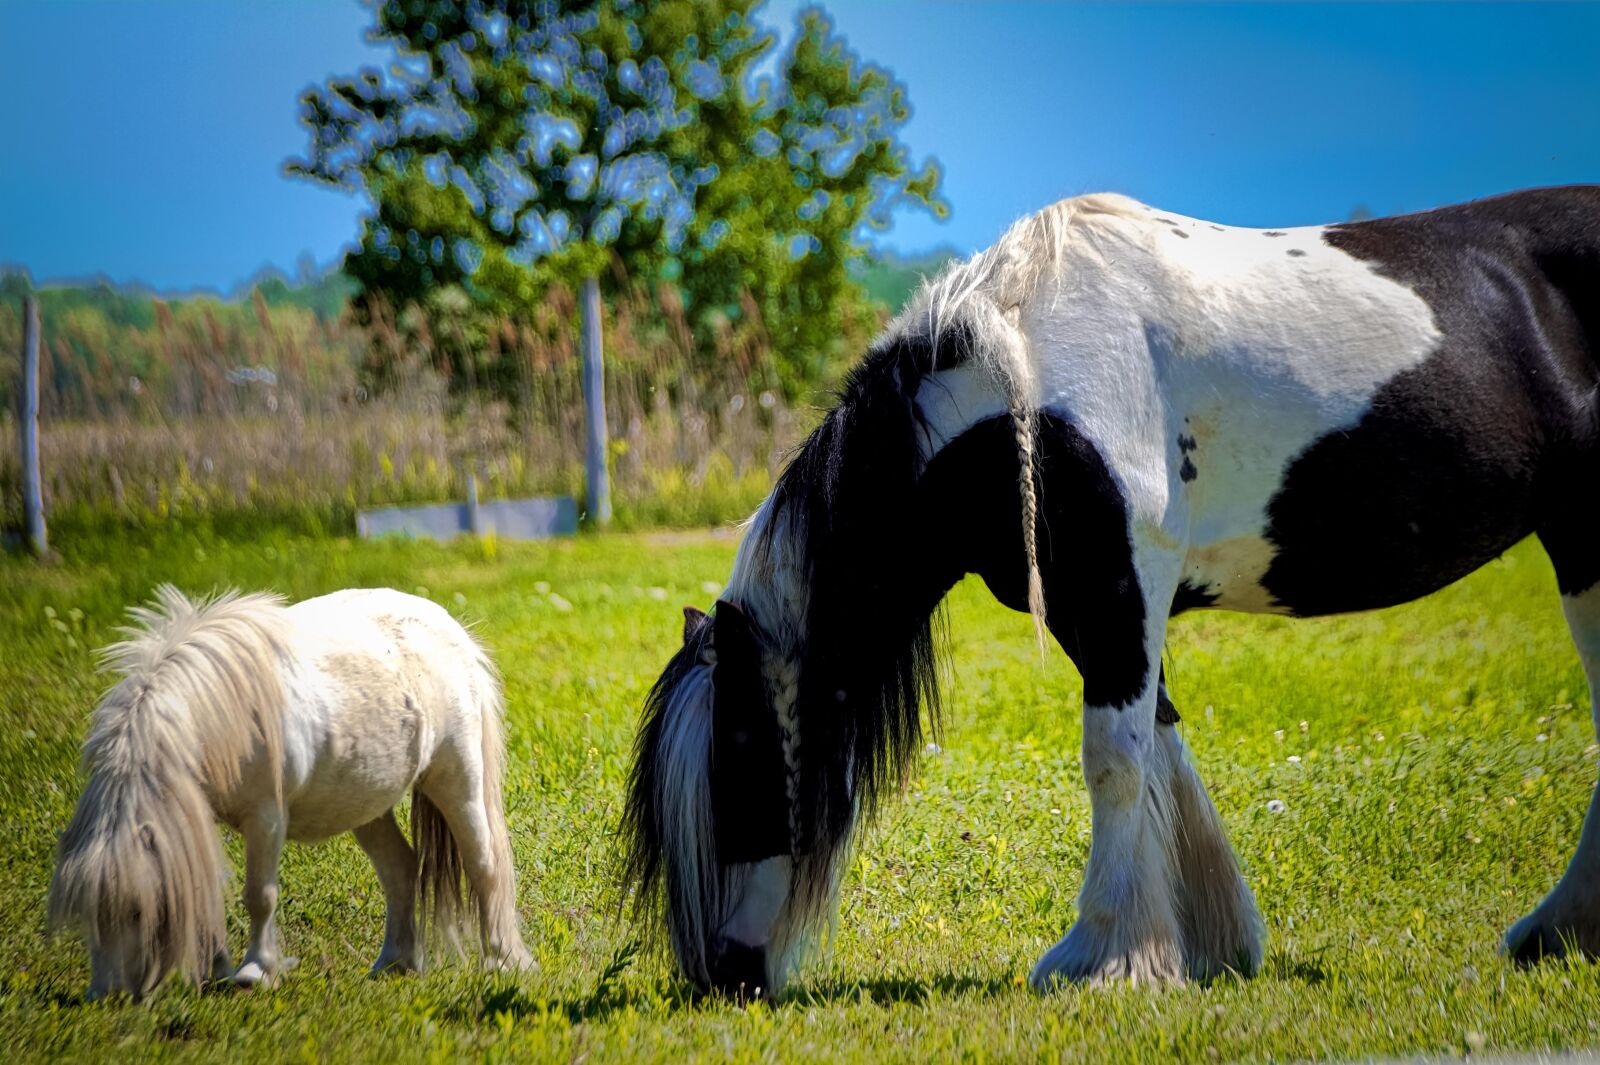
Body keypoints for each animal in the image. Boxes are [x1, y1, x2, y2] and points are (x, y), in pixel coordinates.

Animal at [49, 585, 532, 1000]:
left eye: (136, 911)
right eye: (87, 915)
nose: (105, 996)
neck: (217, 713)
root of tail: (452, 631)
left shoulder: (265, 817)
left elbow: (259, 895)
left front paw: (255, 971)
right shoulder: (199, 816)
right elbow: (210, 891)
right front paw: (217, 971)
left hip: (456, 779)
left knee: (484, 865)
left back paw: (500, 959)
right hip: (366, 803)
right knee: (399, 869)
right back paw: (394, 962)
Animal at [621, 185, 1600, 997]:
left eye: (737, 774)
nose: (721, 976)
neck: (1024, 377)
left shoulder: (1123, 585)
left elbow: (1115, 760)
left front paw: (1104, 957)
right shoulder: (1096, 609)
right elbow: (1161, 747)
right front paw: (1208, 943)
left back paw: (1557, 931)